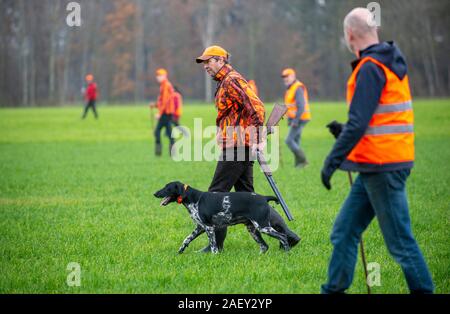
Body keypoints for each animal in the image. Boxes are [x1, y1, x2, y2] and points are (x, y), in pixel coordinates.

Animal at [153, 182, 300, 253]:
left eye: (167, 188)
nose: (154, 193)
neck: (194, 198)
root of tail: (264, 197)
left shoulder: (209, 228)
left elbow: (213, 246)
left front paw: (214, 256)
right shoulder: (199, 228)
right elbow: (186, 239)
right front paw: (180, 251)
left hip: (263, 226)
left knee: (282, 237)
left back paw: (287, 252)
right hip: (253, 229)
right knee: (264, 246)